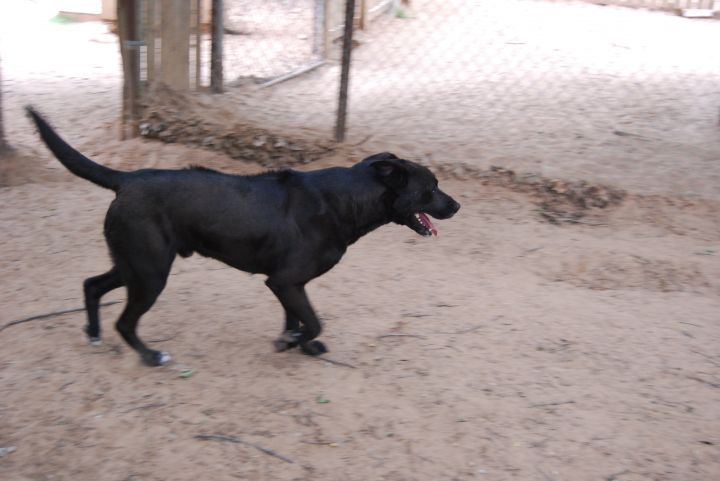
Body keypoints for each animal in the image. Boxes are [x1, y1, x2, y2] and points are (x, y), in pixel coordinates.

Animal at [26, 108, 462, 364]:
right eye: (431, 187)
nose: (458, 206)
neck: (346, 200)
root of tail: (127, 179)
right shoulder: (285, 281)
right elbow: (313, 321)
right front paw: (293, 342)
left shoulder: (290, 285)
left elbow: (298, 320)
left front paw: (300, 344)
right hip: (149, 273)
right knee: (125, 321)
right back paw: (150, 356)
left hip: (133, 263)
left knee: (91, 285)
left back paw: (93, 334)